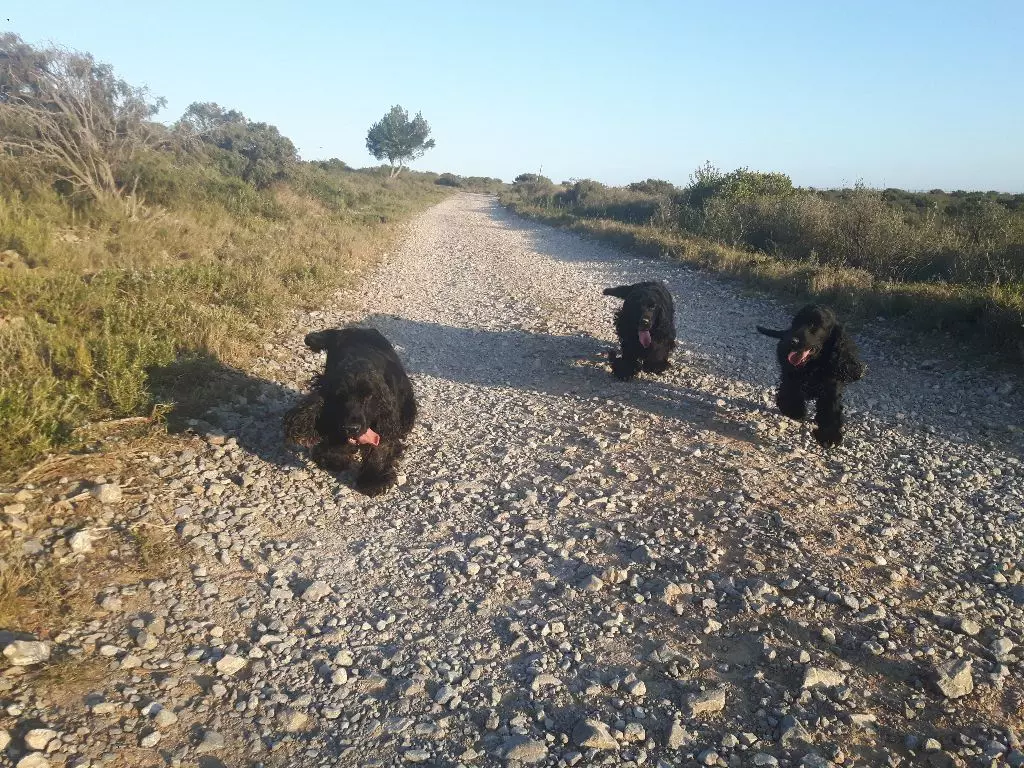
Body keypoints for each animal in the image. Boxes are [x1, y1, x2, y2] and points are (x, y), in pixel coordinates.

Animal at [280, 325, 415, 495]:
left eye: (369, 396)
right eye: (340, 396)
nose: (352, 428)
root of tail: (352, 329)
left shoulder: (387, 417)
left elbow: (381, 447)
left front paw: (373, 479)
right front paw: (334, 456)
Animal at [757, 307, 868, 448]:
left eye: (815, 325)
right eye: (796, 322)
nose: (792, 341)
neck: (814, 363)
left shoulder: (831, 388)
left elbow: (830, 410)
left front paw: (829, 436)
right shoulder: (791, 376)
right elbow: (790, 392)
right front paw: (795, 411)